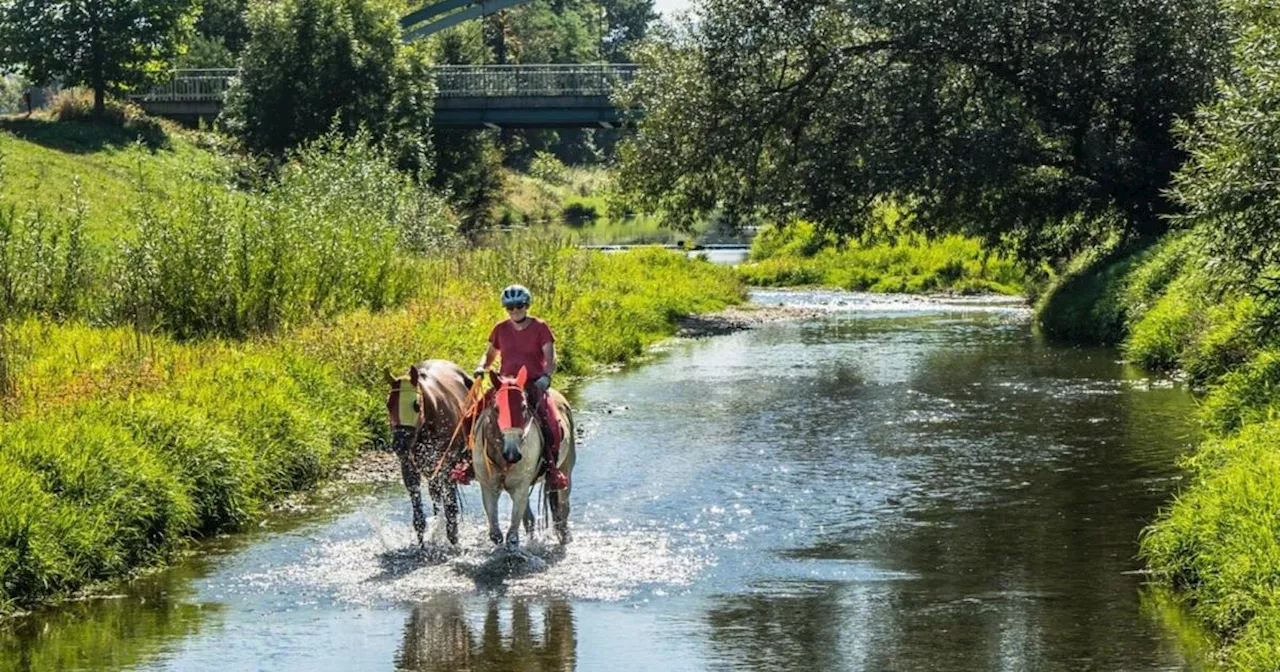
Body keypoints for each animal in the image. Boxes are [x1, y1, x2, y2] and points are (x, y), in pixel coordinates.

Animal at [471, 366, 576, 550]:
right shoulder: (489, 488)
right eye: (497, 408)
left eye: (523, 407)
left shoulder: (520, 488)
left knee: (562, 510)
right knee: (531, 519)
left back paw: (564, 537)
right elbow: (496, 534)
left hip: (565, 471)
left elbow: (512, 536)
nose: (512, 453)